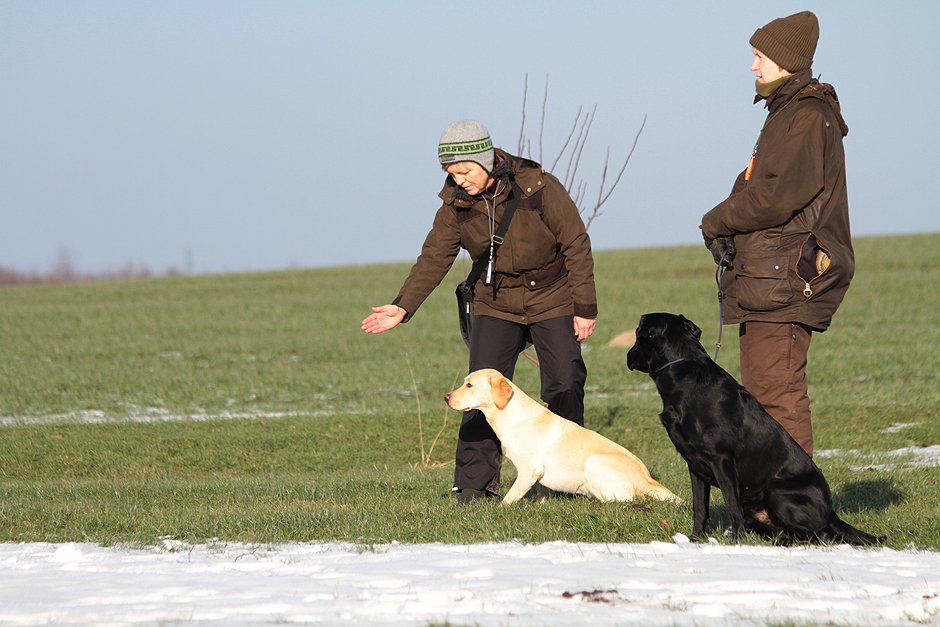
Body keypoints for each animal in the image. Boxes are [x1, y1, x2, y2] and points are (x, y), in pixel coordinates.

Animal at [444, 368, 681, 506]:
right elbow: (542, 493)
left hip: (595, 462)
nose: (446, 397)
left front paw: (500, 510)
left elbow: (509, 498)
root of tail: (647, 478)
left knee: (617, 501)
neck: (510, 415)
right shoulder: (539, 476)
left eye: (469, 385)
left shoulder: (529, 470)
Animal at [626, 312, 885, 545]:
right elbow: (700, 507)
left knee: (815, 535)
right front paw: (695, 539)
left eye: (638, 334)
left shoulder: (722, 460)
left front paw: (737, 539)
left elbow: (731, 503)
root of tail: (831, 512)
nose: (628, 355)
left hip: (777, 491)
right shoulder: (695, 465)